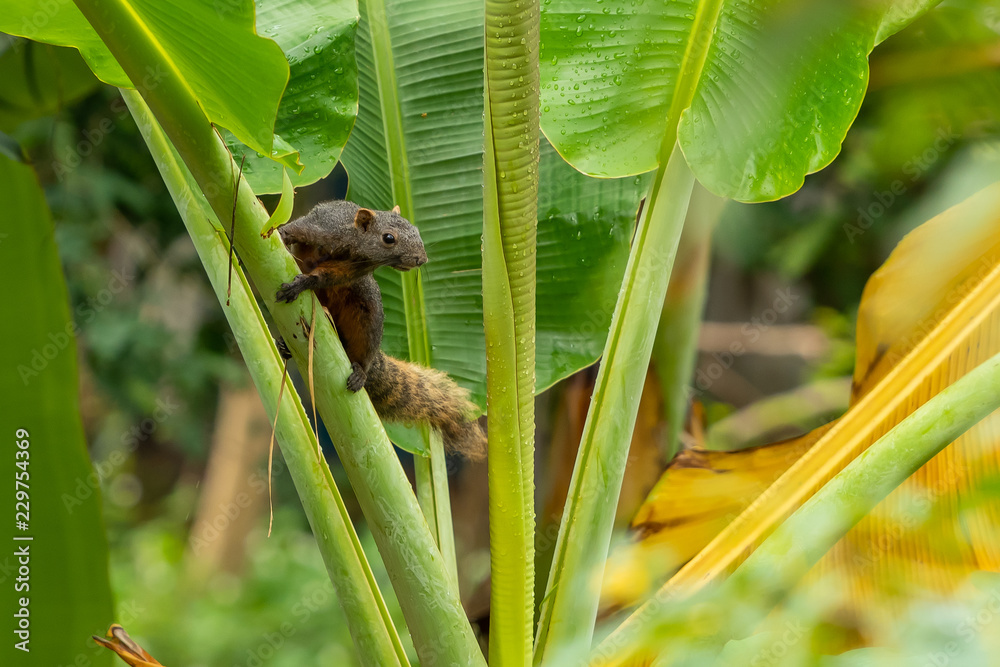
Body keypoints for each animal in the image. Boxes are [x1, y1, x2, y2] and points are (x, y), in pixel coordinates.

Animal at [273, 200, 486, 460]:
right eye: (388, 238)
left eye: (417, 231)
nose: (421, 259)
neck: (351, 243)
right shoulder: (320, 226)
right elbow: (293, 230)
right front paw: (275, 235)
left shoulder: (350, 270)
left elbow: (324, 276)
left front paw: (303, 282)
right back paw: (285, 345)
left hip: (369, 312)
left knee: (364, 350)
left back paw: (359, 372)